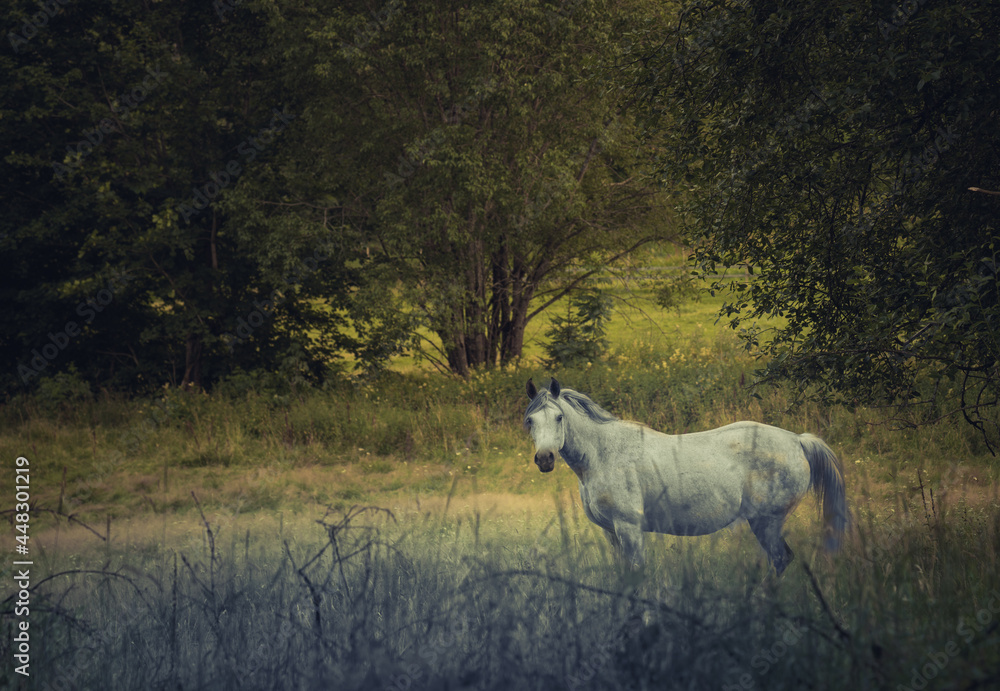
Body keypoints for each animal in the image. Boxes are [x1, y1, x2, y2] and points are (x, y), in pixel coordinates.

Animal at [523, 378, 849, 574]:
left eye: (559, 418)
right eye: (530, 421)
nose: (544, 459)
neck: (603, 455)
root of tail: (798, 441)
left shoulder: (629, 528)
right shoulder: (611, 532)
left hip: (766, 521)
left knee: (780, 559)